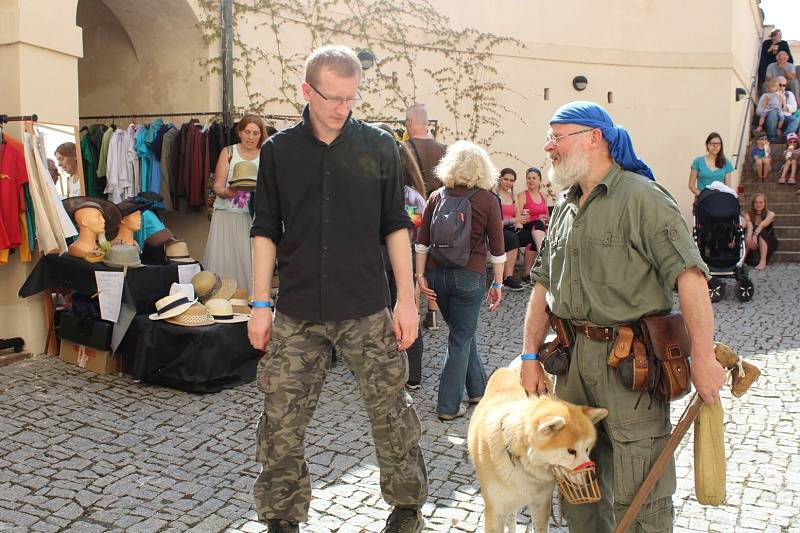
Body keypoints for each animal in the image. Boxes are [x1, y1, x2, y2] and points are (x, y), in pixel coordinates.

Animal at [466, 360, 608, 528]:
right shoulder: (495, 511)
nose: (592, 477)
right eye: (571, 451)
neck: (523, 467)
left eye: (587, 449)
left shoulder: (541, 504)